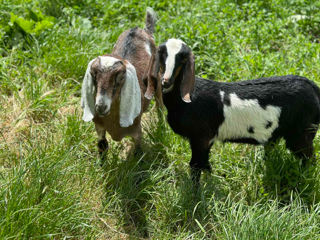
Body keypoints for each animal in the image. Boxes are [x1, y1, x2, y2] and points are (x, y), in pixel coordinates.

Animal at [80, 8, 158, 156]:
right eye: (94, 75)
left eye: (120, 78)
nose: (101, 106)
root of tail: (140, 29)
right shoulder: (99, 127)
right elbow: (102, 145)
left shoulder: (136, 131)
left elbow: (138, 152)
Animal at [152, 37, 320, 181]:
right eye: (162, 54)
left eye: (182, 58)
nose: (166, 81)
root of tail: (313, 86)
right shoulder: (207, 139)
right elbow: (205, 164)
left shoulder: (201, 137)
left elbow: (196, 166)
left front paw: (196, 194)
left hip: (303, 133)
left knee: (308, 158)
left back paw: (304, 179)